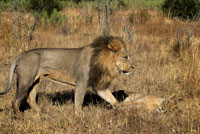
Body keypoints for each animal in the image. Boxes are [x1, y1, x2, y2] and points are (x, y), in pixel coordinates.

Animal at [0, 35, 134, 115]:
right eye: (125, 57)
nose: (133, 67)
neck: (103, 62)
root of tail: (20, 55)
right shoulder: (81, 83)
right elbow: (78, 102)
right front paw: (80, 117)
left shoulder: (98, 86)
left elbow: (112, 99)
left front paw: (122, 108)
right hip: (26, 80)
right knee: (15, 101)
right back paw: (19, 116)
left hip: (35, 81)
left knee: (30, 99)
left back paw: (42, 113)